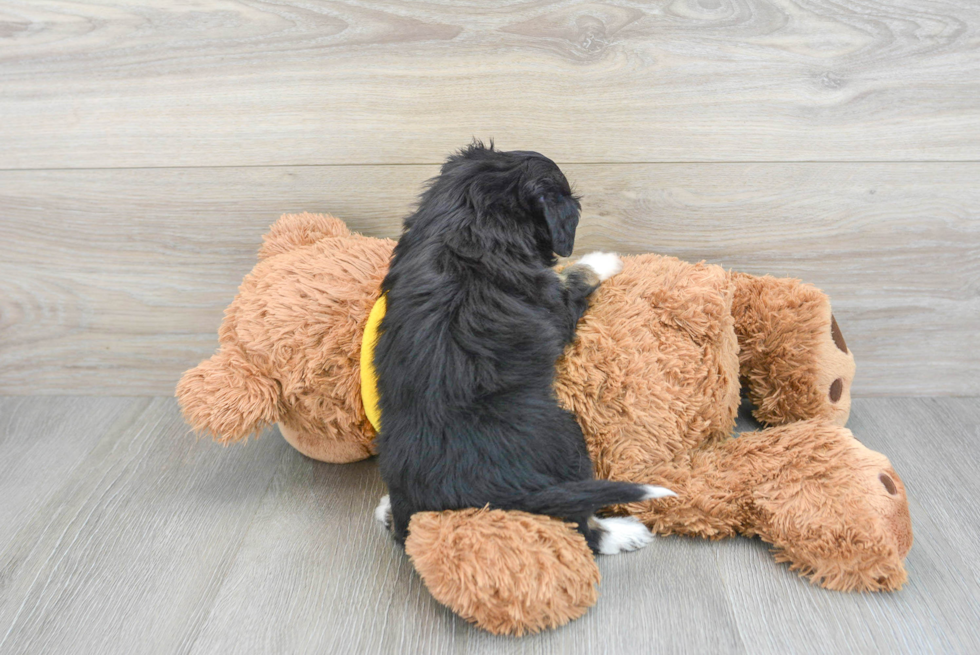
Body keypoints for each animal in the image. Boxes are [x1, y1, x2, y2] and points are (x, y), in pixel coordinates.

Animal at [374, 142, 672, 552]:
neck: (465, 221)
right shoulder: (555, 311)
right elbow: (573, 277)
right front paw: (603, 260)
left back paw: (386, 510)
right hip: (566, 434)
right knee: (581, 525)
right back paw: (626, 533)